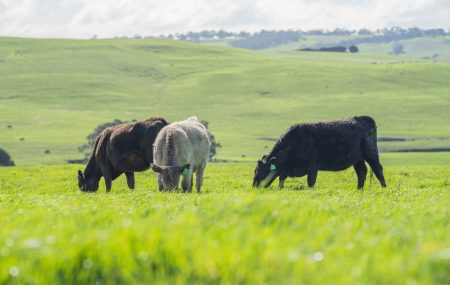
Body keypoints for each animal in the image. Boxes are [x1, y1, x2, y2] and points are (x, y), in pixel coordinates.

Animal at [253, 115, 386, 189]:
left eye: (263, 171)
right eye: (255, 171)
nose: (254, 186)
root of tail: (364, 118)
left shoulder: (313, 166)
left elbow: (310, 182)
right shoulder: (287, 169)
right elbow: (281, 179)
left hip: (371, 153)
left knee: (378, 169)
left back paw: (384, 189)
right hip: (357, 158)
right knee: (362, 172)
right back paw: (359, 190)